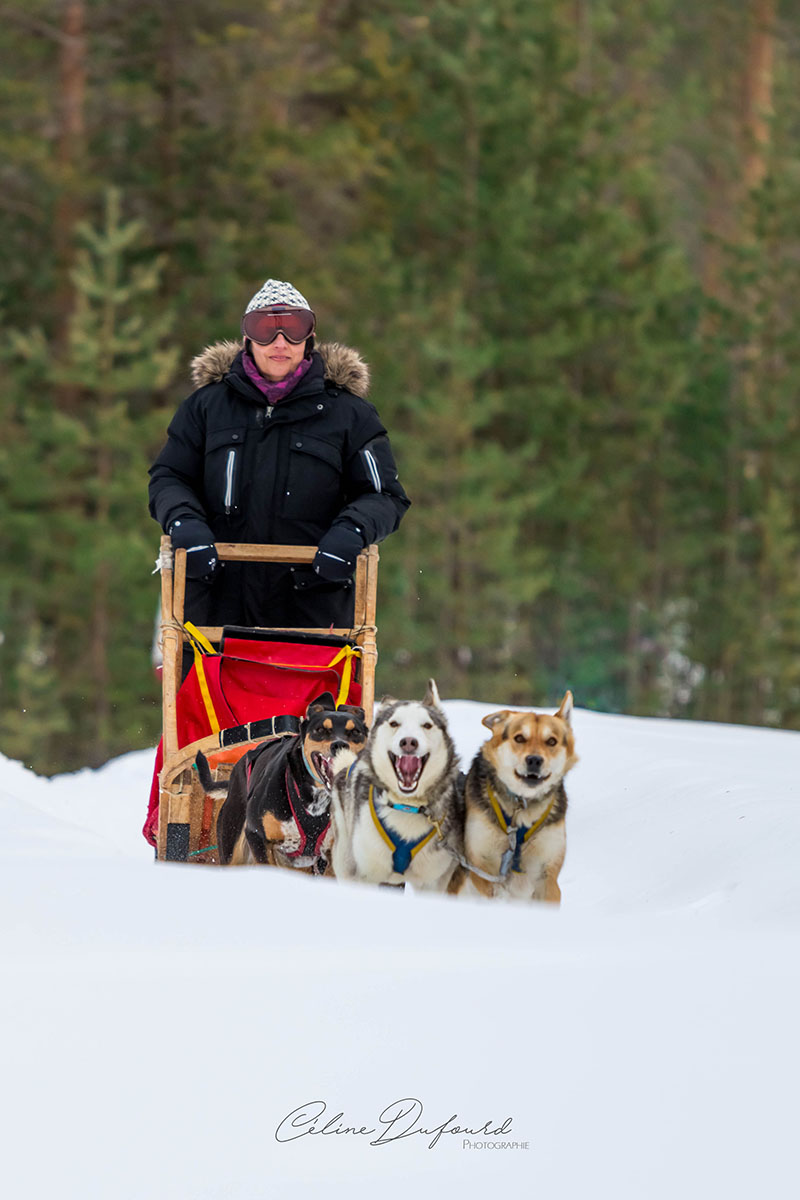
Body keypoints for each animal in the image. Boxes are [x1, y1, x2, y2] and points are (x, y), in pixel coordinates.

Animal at [326, 681, 462, 888]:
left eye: (427, 725)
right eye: (394, 723)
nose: (409, 742)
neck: (406, 806)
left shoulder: (431, 880)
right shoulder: (366, 874)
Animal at [460, 691, 578, 902]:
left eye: (551, 741)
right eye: (520, 738)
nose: (534, 760)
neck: (521, 806)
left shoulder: (547, 874)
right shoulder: (481, 867)